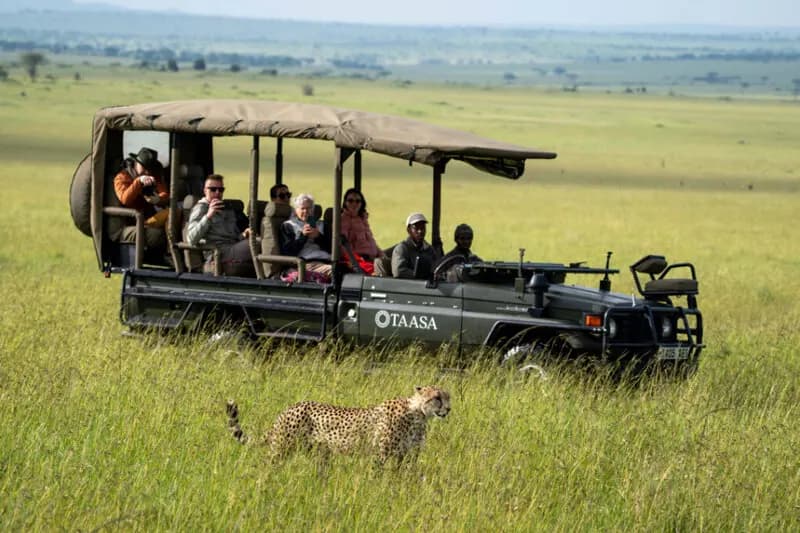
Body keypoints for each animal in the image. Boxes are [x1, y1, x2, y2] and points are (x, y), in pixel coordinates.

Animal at [226, 386, 450, 464]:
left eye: (448, 397)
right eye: (437, 398)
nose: (448, 409)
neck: (418, 415)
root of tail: (288, 408)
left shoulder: (408, 456)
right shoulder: (380, 455)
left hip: (319, 453)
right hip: (281, 448)